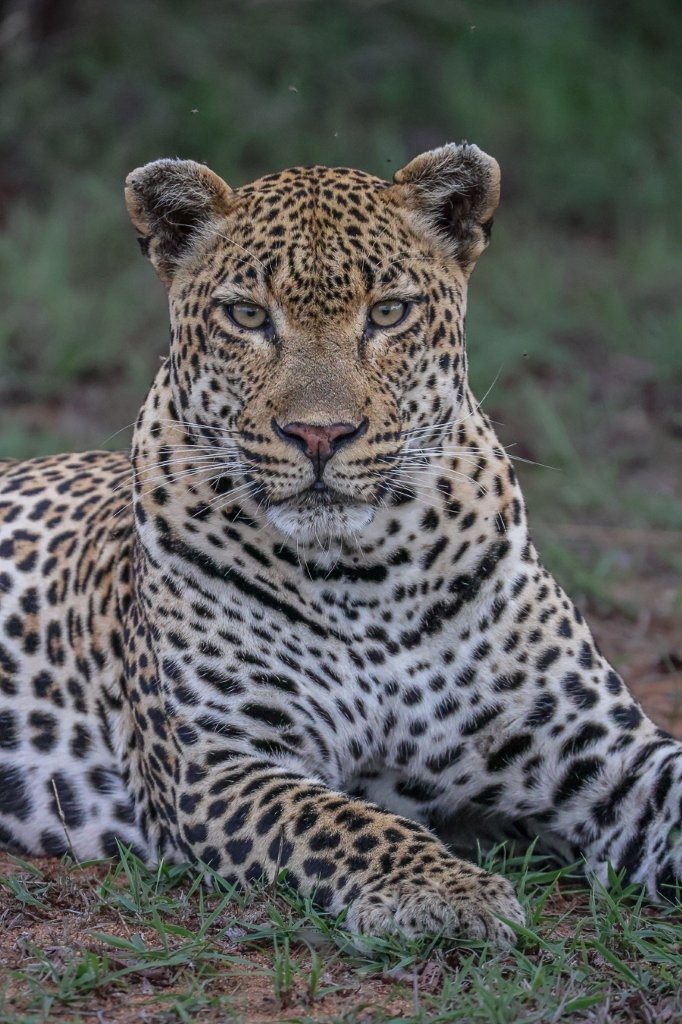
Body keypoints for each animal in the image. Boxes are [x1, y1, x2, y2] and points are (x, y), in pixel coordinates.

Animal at [0, 142, 680, 950]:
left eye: (387, 313)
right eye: (247, 315)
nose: (320, 434)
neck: (365, 575)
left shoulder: (603, 751)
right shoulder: (221, 762)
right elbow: (345, 821)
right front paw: (447, 891)